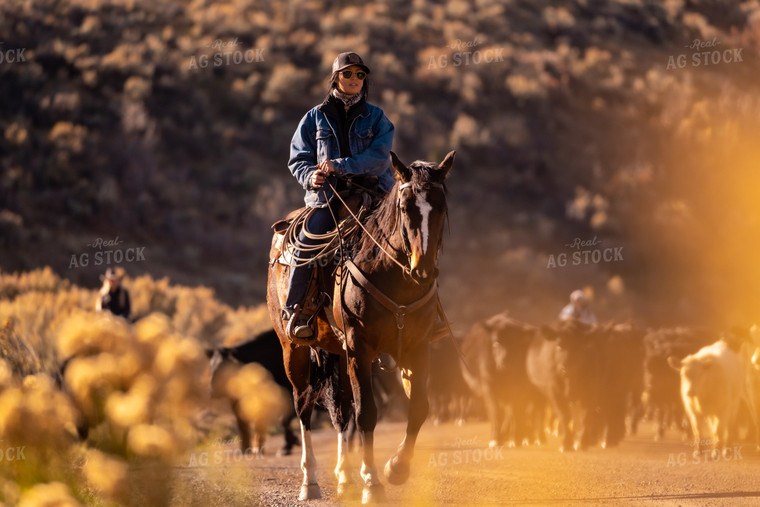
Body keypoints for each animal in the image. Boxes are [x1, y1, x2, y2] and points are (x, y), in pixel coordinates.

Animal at [268, 149, 454, 502]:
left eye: (441, 206)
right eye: (404, 206)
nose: (423, 269)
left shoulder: (418, 347)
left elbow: (419, 409)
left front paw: (396, 468)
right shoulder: (360, 348)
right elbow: (366, 412)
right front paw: (373, 483)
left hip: (338, 353)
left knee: (341, 411)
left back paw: (345, 478)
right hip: (292, 349)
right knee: (303, 407)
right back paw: (310, 482)